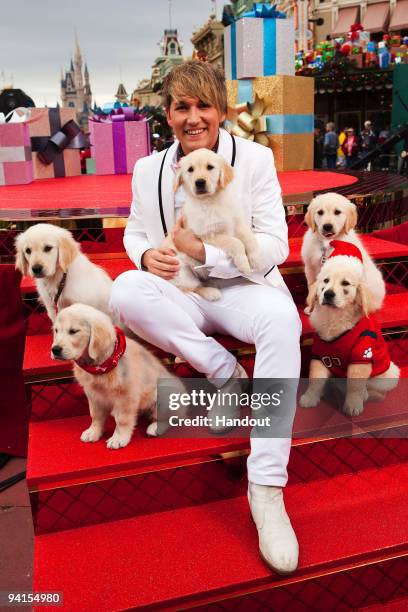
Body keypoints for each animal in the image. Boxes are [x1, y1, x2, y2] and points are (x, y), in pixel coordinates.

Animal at [51, 304, 178, 448]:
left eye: (73, 331)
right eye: (56, 331)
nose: (55, 350)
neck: (101, 364)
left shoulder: (125, 396)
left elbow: (122, 420)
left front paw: (118, 438)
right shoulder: (94, 394)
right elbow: (96, 415)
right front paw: (93, 432)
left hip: (165, 393)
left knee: (170, 418)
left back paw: (155, 428)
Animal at [164, 148, 262, 302]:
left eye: (210, 167)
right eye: (190, 169)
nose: (199, 182)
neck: (212, 200)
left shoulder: (238, 223)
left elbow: (249, 237)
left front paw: (256, 259)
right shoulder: (208, 234)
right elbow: (235, 243)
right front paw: (243, 264)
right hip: (181, 271)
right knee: (192, 288)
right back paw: (211, 292)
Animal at [300, 239, 398, 416]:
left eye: (345, 283)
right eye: (325, 281)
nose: (328, 294)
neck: (334, 317)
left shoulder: (361, 354)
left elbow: (355, 386)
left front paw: (352, 406)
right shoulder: (320, 354)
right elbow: (315, 379)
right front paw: (310, 398)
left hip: (384, 377)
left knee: (368, 386)